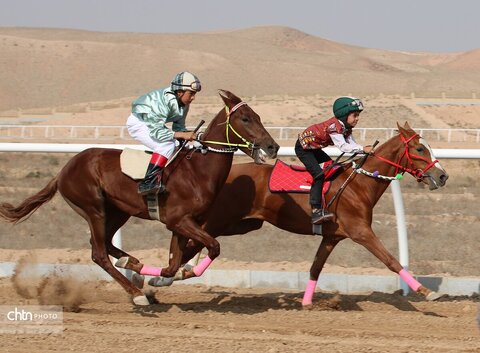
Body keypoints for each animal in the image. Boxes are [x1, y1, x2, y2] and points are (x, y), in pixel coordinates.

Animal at [0, 89, 280, 304]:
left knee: (105, 244)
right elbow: (213, 246)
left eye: (257, 116)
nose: (272, 147)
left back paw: (132, 265)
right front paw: (164, 278)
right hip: (94, 208)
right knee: (99, 253)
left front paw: (160, 276)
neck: (197, 171)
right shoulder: (178, 220)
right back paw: (136, 293)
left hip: (118, 211)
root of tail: (63, 171)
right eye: (245, 118)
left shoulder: (182, 224)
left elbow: (174, 263)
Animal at [139, 122, 450, 304]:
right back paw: (157, 279)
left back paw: (155, 281)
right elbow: (391, 260)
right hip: (220, 220)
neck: (358, 184)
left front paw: (307, 302)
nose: (442, 176)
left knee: (189, 243)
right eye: (420, 148)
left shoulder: (332, 237)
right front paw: (426, 291)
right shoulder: (361, 232)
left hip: (241, 224)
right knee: (190, 242)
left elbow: (315, 268)